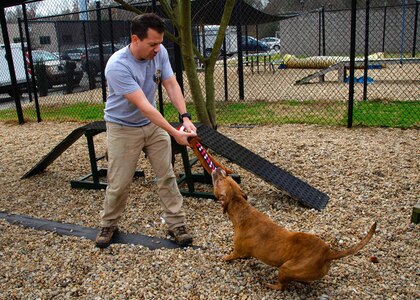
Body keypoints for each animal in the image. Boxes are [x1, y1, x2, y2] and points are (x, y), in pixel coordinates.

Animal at [212, 168, 376, 290]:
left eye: (220, 180)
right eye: (225, 177)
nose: (218, 169)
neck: (242, 209)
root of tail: (327, 253)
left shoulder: (238, 251)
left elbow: (231, 256)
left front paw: (224, 258)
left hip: (286, 268)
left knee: (282, 286)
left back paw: (271, 285)